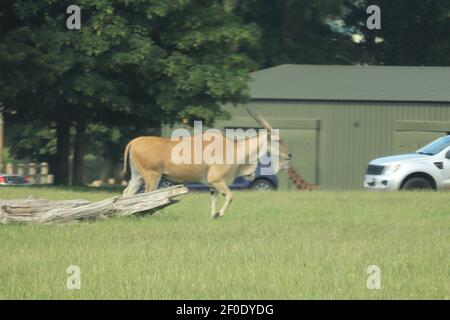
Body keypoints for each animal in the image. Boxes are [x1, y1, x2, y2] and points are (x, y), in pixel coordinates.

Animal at [123, 107, 292, 218]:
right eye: (278, 140)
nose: (289, 155)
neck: (233, 148)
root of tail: (134, 142)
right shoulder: (216, 180)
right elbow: (230, 196)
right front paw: (219, 214)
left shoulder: (213, 185)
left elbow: (214, 199)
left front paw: (213, 215)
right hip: (152, 177)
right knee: (147, 196)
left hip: (138, 177)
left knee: (128, 194)